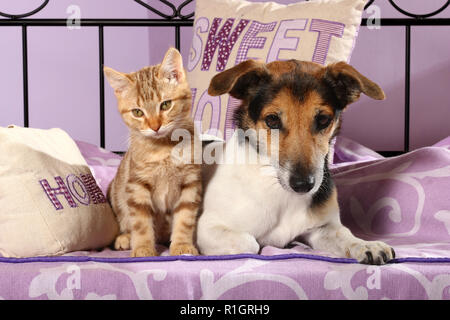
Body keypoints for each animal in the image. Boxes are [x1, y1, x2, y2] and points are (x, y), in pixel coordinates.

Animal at [104, 48, 201, 258]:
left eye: (165, 105)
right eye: (137, 112)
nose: (155, 126)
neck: (163, 148)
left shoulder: (190, 182)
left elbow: (185, 218)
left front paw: (182, 245)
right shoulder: (137, 185)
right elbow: (141, 222)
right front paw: (143, 248)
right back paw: (125, 238)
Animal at [199, 59, 396, 264]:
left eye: (323, 119)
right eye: (272, 120)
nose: (303, 185)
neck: (277, 190)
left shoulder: (323, 227)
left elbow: (344, 234)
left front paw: (366, 245)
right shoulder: (208, 228)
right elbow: (250, 243)